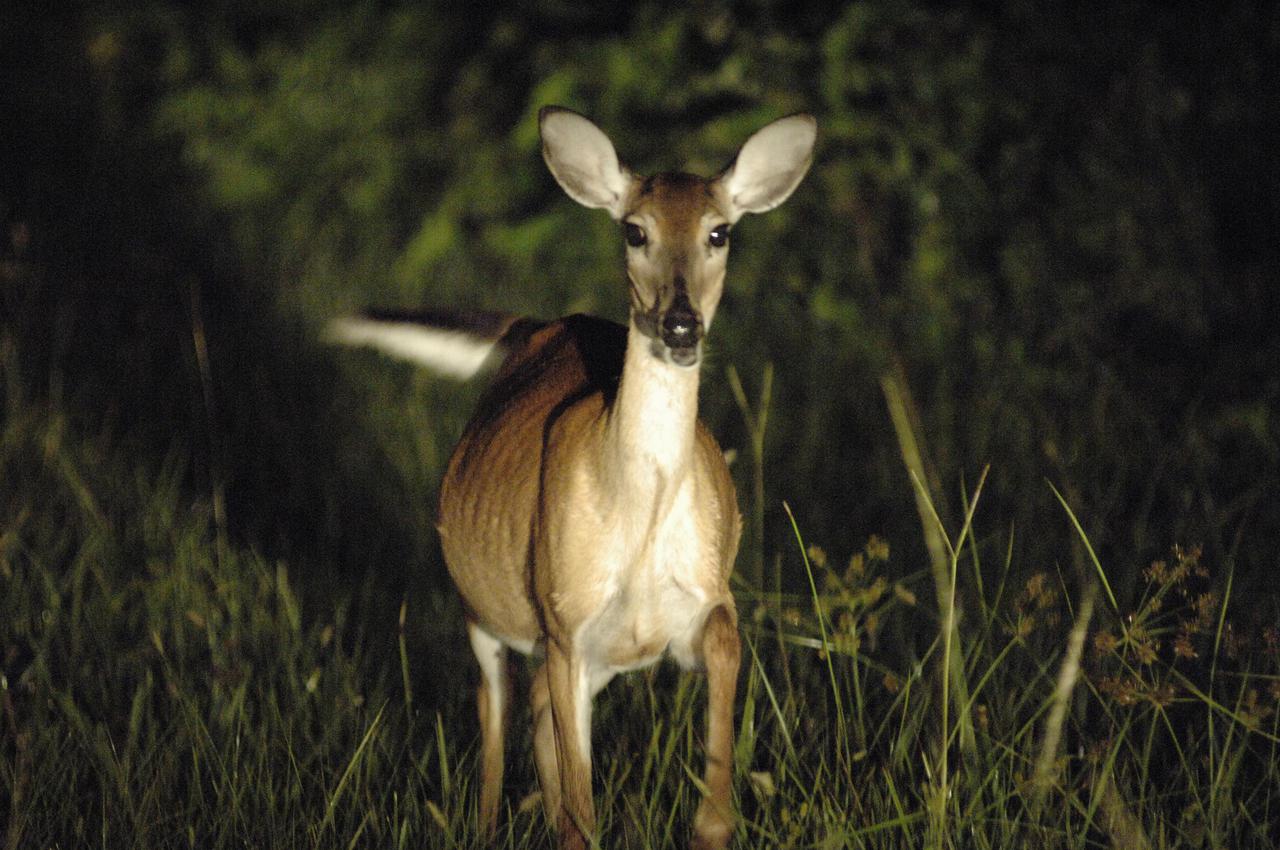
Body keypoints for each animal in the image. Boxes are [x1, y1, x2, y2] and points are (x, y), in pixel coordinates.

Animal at [330, 106, 815, 849]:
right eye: (634, 230)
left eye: (720, 231)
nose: (681, 325)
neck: (639, 517)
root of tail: (536, 326)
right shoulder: (565, 624)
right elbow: (581, 818)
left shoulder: (696, 603)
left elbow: (725, 648)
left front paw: (711, 817)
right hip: (484, 606)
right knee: (494, 710)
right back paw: (485, 824)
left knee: (531, 710)